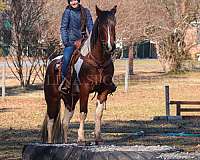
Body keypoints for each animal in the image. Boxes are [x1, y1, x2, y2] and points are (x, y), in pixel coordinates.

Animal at [42, 5, 117, 144]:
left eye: (114, 24)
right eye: (102, 25)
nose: (111, 46)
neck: (98, 61)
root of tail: (51, 63)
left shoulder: (103, 90)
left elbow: (98, 113)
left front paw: (98, 137)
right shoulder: (84, 89)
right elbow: (83, 112)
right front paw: (81, 138)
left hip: (70, 99)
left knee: (65, 122)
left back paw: (66, 142)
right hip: (52, 98)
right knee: (50, 121)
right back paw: (49, 142)